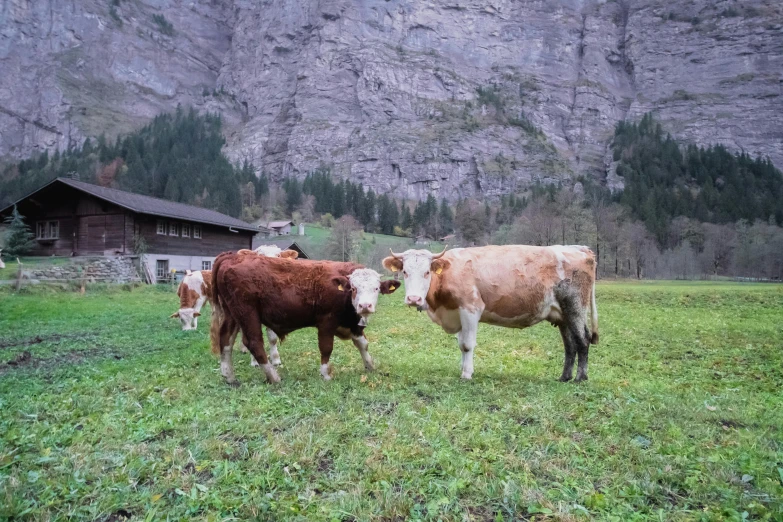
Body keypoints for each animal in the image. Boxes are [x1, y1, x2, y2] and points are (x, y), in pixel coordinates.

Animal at [211, 250, 402, 384]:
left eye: (376, 288)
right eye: (354, 288)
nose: (365, 306)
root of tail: (231, 257)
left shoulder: (353, 324)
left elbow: (363, 344)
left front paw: (370, 366)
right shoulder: (326, 322)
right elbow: (326, 347)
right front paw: (325, 374)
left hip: (232, 313)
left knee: (226, 339)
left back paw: (229, 376)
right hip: (247, 313)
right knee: (254, 343)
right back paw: (274, 377)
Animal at [384, 244, 600, 382]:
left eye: (427, 272)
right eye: (405, 272)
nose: (413, 299)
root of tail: (580, 249)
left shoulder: (471, 308)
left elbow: (467, 345)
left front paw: (467, 374)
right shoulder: (458, 313)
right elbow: (461, 345)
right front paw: (463, 368)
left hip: (575, 307)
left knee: (582, 340)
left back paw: (580, 378)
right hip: (563, 315)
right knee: (570, 345)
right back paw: (564, 377)